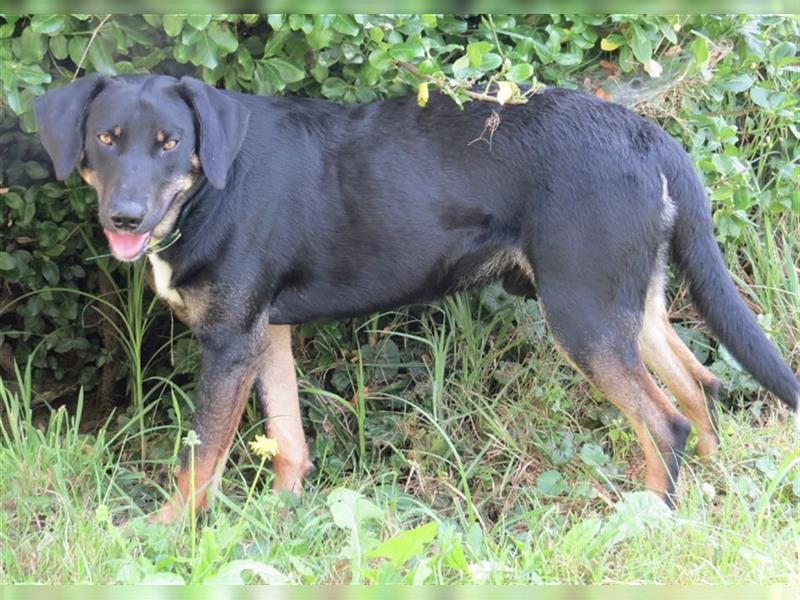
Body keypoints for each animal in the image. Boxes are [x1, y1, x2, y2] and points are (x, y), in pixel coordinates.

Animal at [32, 71, 800, 520]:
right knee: (701, 387)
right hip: (628, 303)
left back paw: (647, 520)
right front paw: (280, 524)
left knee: (663, 421)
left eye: (170, 143)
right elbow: (287, 439)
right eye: (107, 138)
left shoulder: (228, 342)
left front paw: (164, 541)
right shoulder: (263, 332)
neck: (208, 189)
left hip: (583, 314)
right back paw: (710, 499)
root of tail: (648, 133)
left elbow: (198, 460)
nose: (124, 217)